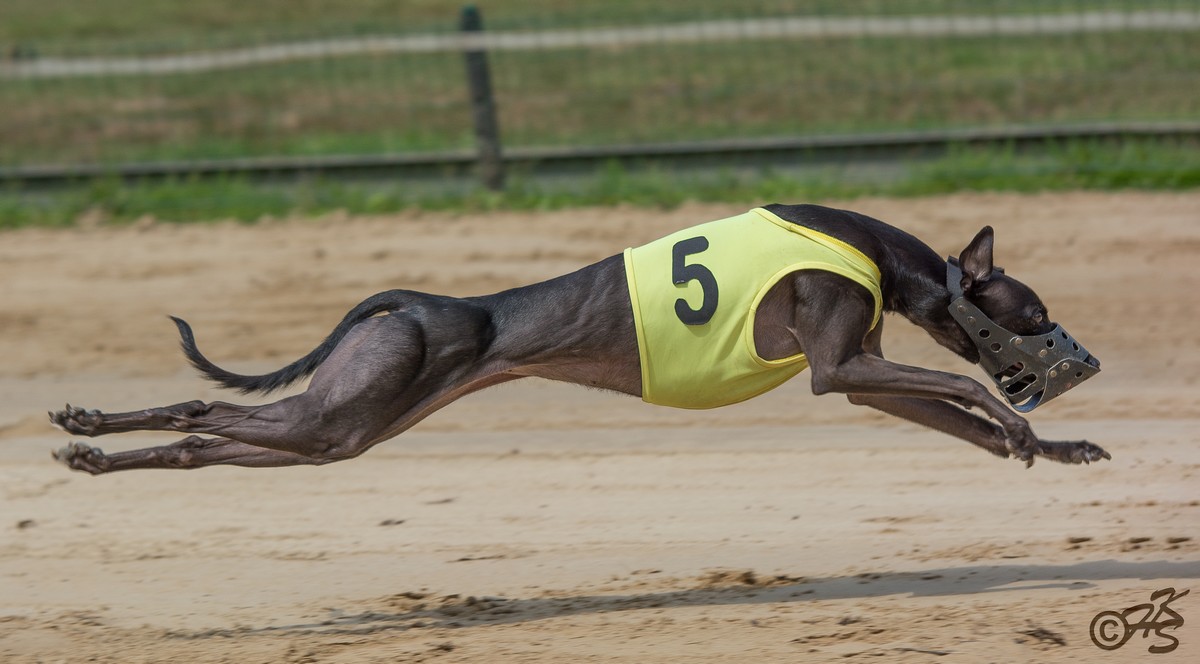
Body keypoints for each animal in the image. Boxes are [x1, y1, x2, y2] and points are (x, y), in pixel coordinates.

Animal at [50, 204, 1108, 474]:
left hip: (347, 423)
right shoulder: (841, 362)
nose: (1084, 360)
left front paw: (1052, 447)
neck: (886, 254)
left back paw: (90, 443)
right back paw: (87, 434)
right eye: (1032, 311)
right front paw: (1023, 428)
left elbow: (953, 413)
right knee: (205, 413)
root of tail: (420, 301)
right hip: (348, 410)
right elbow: (967, 391)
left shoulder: (859, 379)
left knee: (202, 432)